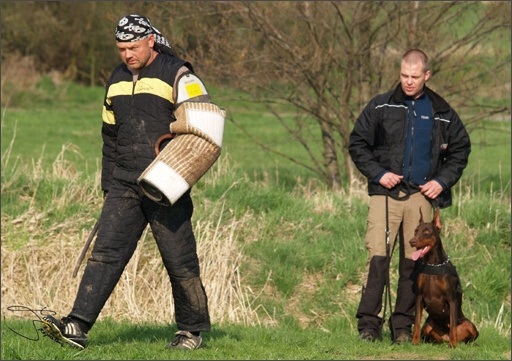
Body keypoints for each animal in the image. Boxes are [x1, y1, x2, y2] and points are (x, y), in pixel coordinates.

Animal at [408, 207, 480, 348]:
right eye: (415, 230)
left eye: (426, 232)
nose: (412, 241)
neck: (432, 263)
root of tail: (444, 337)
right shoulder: (419, 297)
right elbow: (417, 322)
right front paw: (414, 341)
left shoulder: (451, 299)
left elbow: (452, 324)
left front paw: (452, 345)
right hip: (428, 325)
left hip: (469, 324)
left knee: (466, 334)